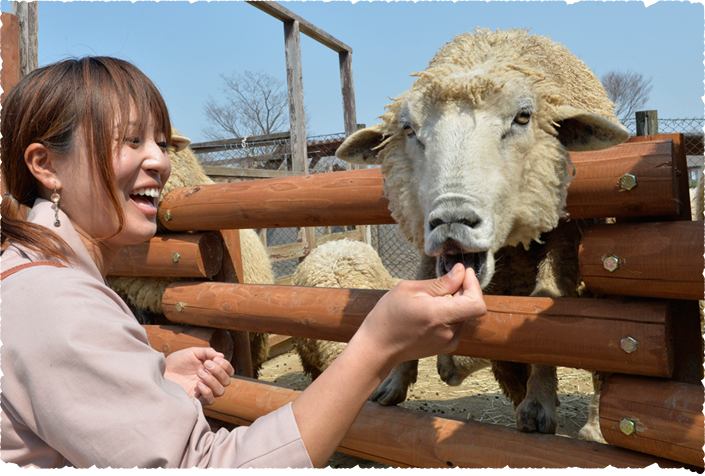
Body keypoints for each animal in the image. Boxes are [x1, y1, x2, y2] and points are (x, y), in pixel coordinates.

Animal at [334, 27, 628, 440]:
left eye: (523, 117)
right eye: (408, 129)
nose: (452, 220)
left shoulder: (565, 232)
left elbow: (546, 298)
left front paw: (539, 401)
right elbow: (420, 285)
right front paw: (397, 379)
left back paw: (594, 426)